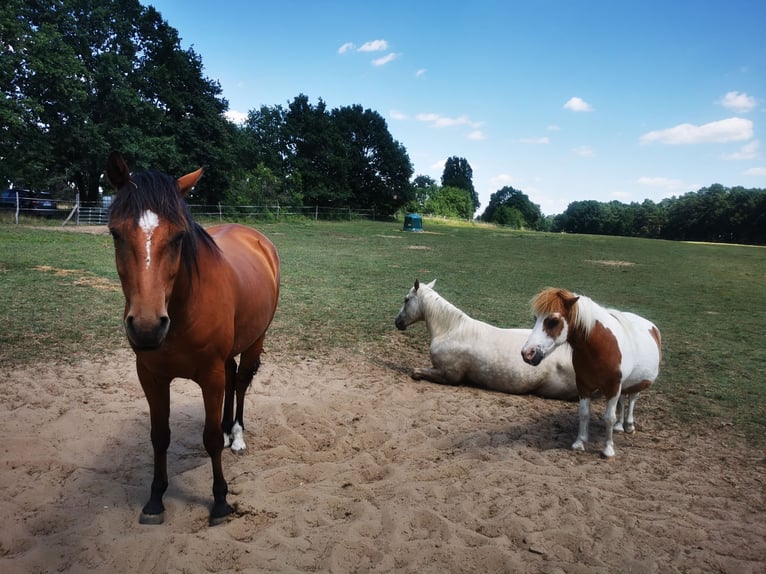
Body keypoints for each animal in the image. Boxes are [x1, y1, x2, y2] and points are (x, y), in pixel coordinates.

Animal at [106, 152, 280, 525]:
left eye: (178, 236)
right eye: (115, 233)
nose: (146, 326)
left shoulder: (209, 377)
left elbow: (210, 438)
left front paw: (220, 502)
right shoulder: (151, 377)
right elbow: (159, 437)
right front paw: (155, 499)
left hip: (255, 339)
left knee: (239, 382)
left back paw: (236, 435)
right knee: (232, 376)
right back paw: (230, 429)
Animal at [521, 288, 661, 458]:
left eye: (553, 321)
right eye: (535, 318)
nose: (527, 353)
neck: (601, 346)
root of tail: (651, 326)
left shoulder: (613, 386)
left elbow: (609, 418)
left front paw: (608, 449)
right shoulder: (583, 384)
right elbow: (584, 413)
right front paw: (579, 442)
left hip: (635, 383)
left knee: (633, 398)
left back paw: (629, 425)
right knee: (622, 400)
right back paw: (619, 426)